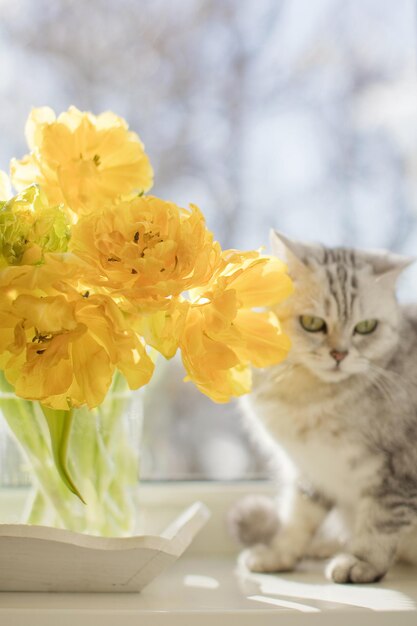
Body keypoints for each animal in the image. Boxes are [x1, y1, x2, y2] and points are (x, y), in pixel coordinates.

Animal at [236, 232, 416, 584]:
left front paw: (362, 562)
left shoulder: (398, 470)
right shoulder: (309, 468)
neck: (311, 399)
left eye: (366, 327)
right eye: (312, 323)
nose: (339, 354)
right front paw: (278, 554)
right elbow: (297, 518)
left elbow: (380, 522)